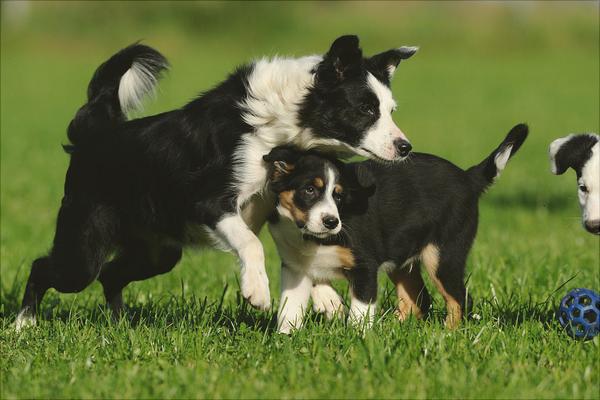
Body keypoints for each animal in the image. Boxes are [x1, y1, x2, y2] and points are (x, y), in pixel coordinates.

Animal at [15, 35, 418, 328]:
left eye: (390, 110)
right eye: (365, 109)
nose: (405, 147)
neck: (281, 122)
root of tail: (95, 134)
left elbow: (308, 251)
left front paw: (328, 300)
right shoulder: (209, 202)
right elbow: (251, 244)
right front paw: (257, 292)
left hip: (157, 252)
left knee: (112, 275)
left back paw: (120, 324)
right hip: (84, 248)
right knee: (46, 268)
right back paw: (24, 324)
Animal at [264, 123, 528, 332]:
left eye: (338, 195)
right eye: (309, 190)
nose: (331, 222)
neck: (311, 237)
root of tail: (467, 177)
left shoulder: (365, 267)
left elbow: (360, 312)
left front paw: (357, 339)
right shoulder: (294, 266)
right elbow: (290, 307)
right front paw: (286, 338)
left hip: (443, 255)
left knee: (460, 299)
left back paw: (447, 333)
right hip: (402, 257)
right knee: (419, 300)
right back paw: (396, 327)